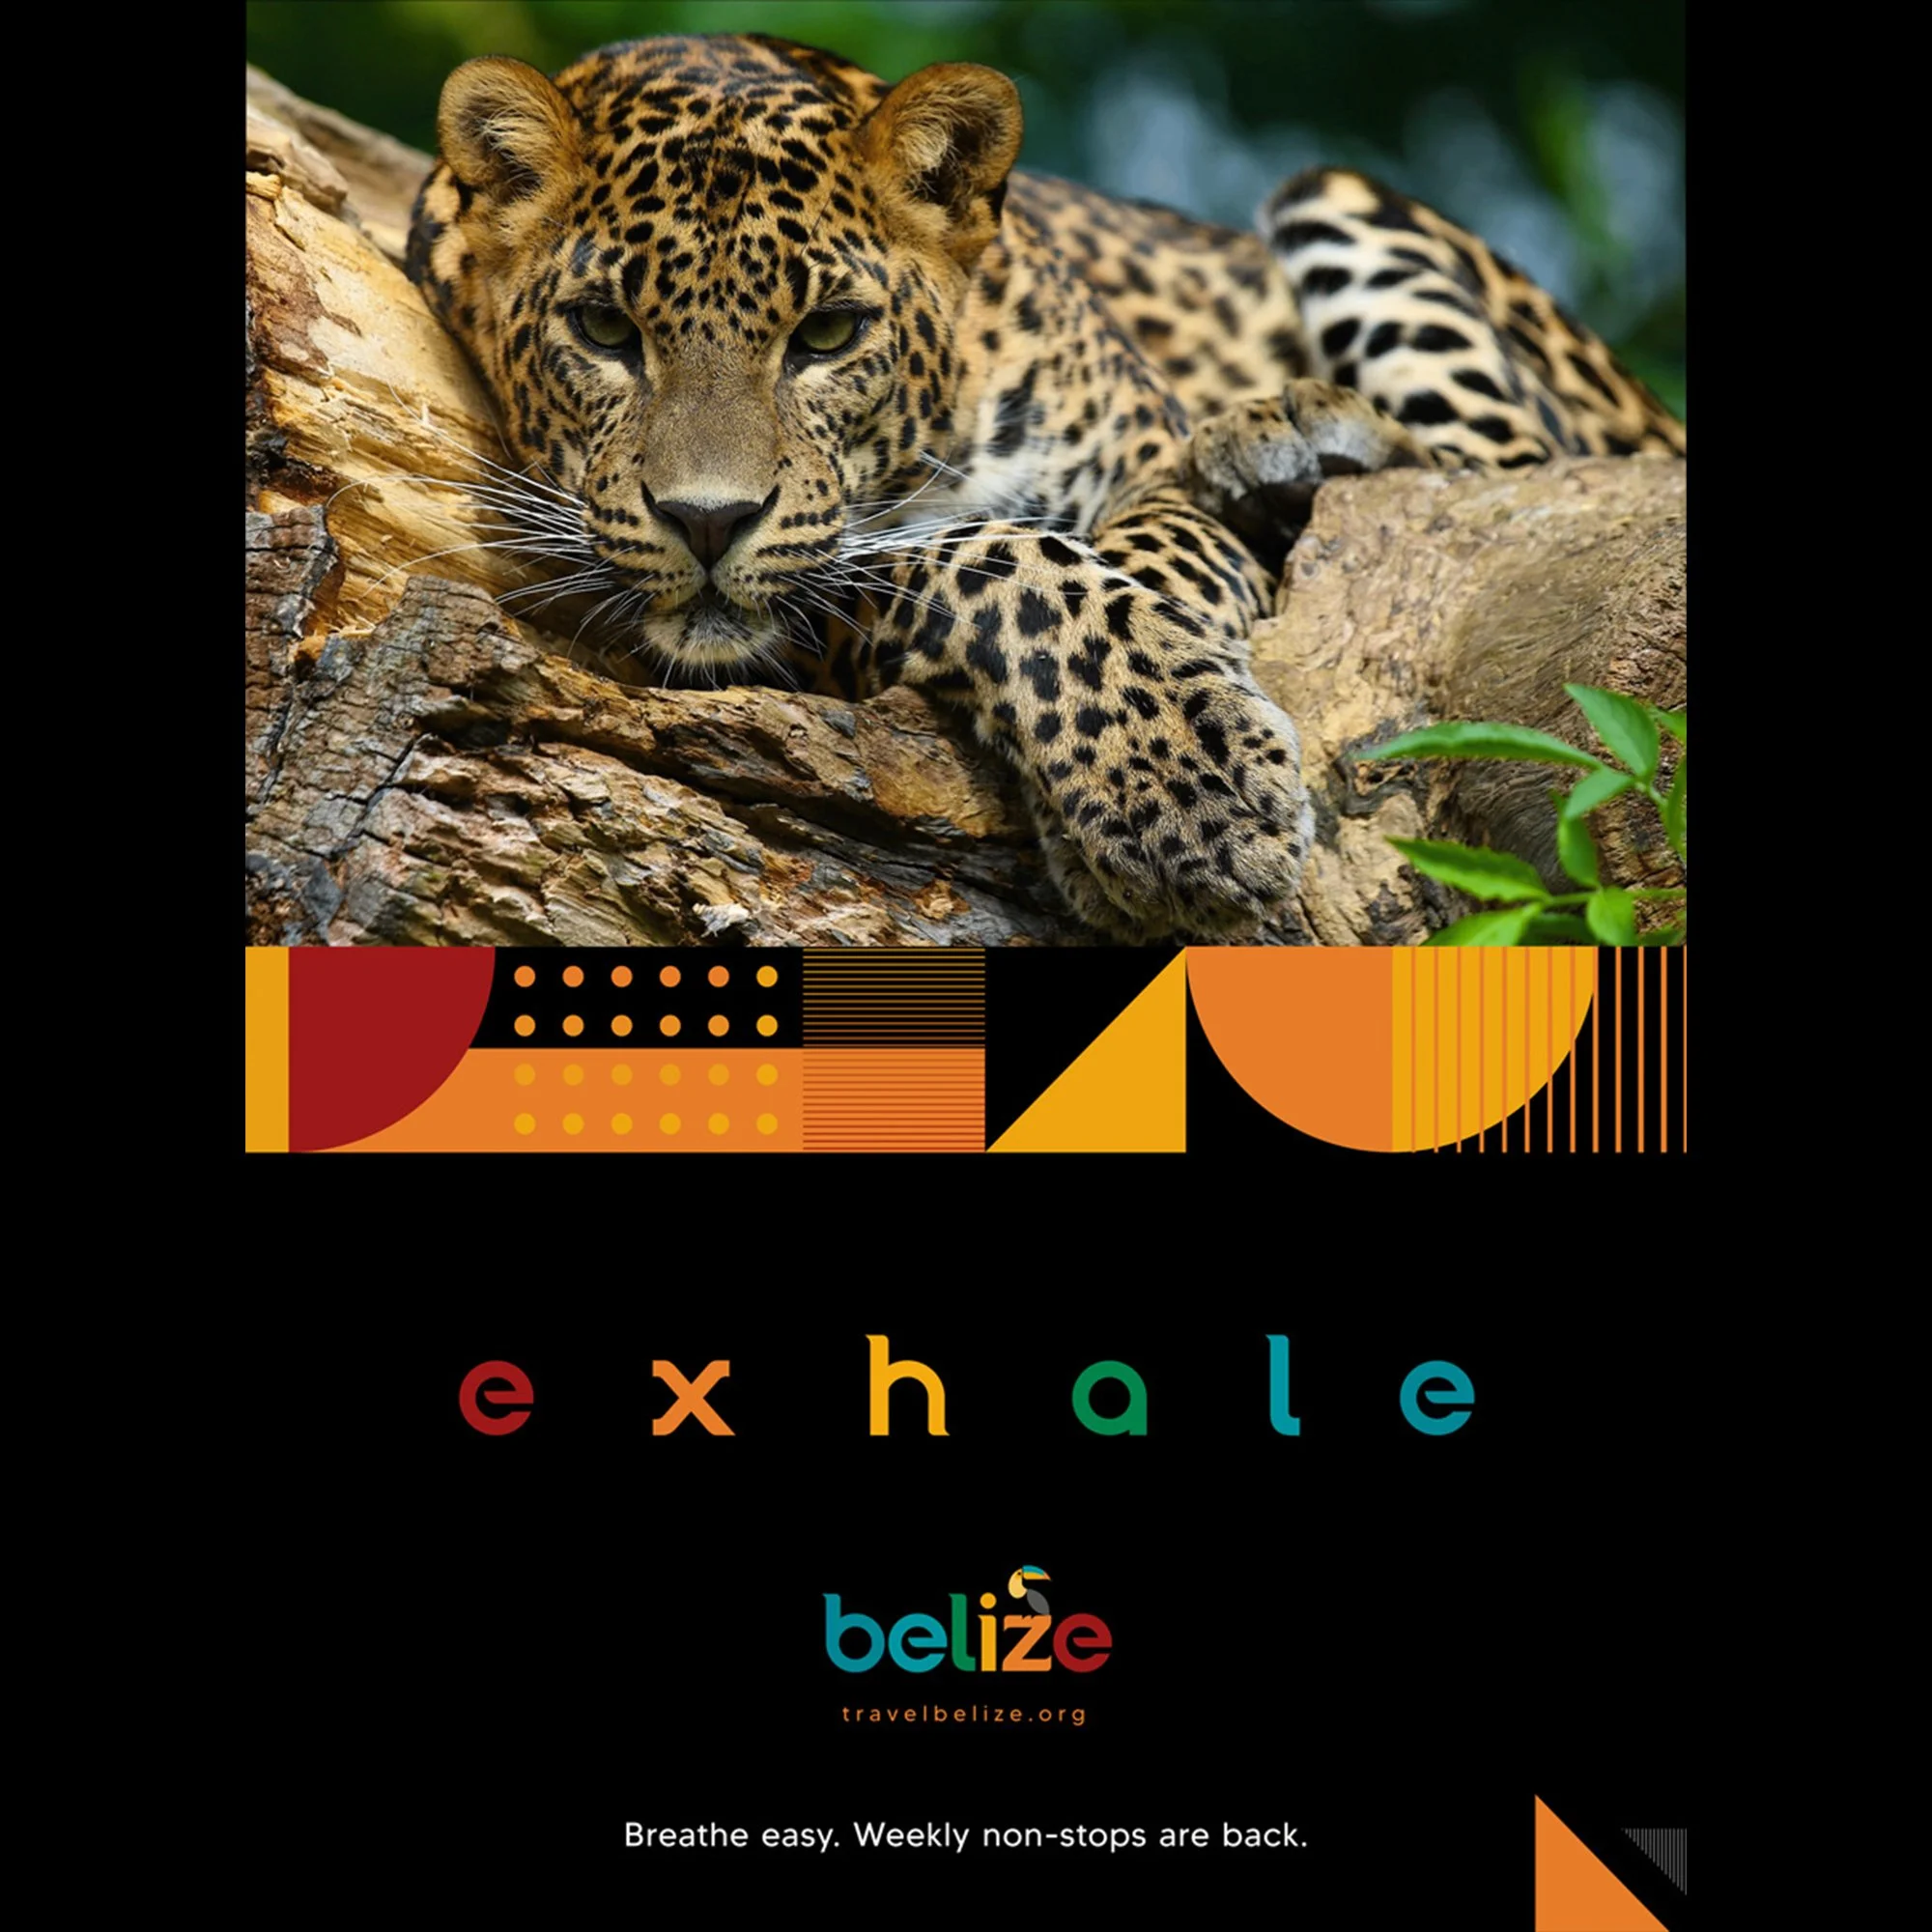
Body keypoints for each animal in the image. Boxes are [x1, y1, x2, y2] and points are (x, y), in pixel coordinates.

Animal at [405, 33, 1682, 941]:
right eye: (601, 330)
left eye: (828, 333)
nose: (706, 521)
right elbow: (993, 560)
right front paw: (1172, 790)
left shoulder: (1148, 462)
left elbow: (1136, 560)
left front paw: (1175, 765)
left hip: (1348, 209)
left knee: (1510, 486)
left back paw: (1296, 433)